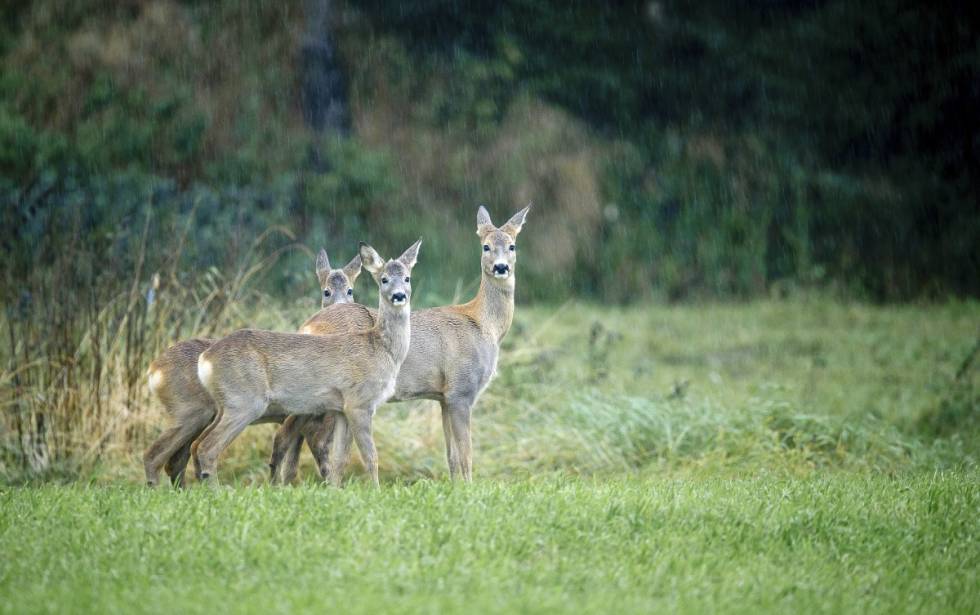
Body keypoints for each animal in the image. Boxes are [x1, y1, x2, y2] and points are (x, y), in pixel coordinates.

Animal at [142, 248, 364, 487]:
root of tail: (154, 370)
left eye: (350, 290)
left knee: (176, 459)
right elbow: (314, 455)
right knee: (163, 455)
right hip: (191, 411)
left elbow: (293, 460)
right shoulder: (316, 418)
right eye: (326, 292)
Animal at [193, 240, 421, 486]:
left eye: (407, 278)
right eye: (384, 279)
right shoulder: (359, 402)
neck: (381, 348)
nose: (399, 295)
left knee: (197, 444)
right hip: (244, 401)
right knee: (208, 448)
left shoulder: (341, 408)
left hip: (225, 404)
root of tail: (205, 359)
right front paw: (375, 491)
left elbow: (340, 459)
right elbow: (370, 456)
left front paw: (335, 490)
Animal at [270, 204, 529, 483]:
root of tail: (307, 326)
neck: (485, 324)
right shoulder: (461, 389)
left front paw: (456, 487)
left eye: (512, 245)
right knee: (298, 435)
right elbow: (466, 454)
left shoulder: (443, 396)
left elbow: (451, 456)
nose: (501, 267)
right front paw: (469, 488)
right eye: (486, 246)